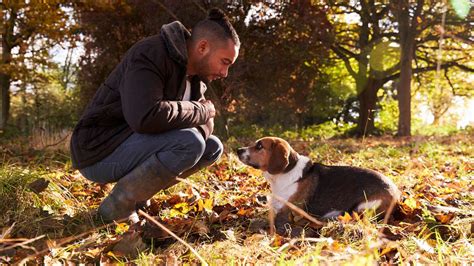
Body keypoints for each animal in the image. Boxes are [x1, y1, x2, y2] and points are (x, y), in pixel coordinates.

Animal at [237, 137, 400, 237]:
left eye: (259, 146)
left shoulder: (286, 212)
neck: (285, 173)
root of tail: (397, 194)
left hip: (363, 207)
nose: (238, 150)